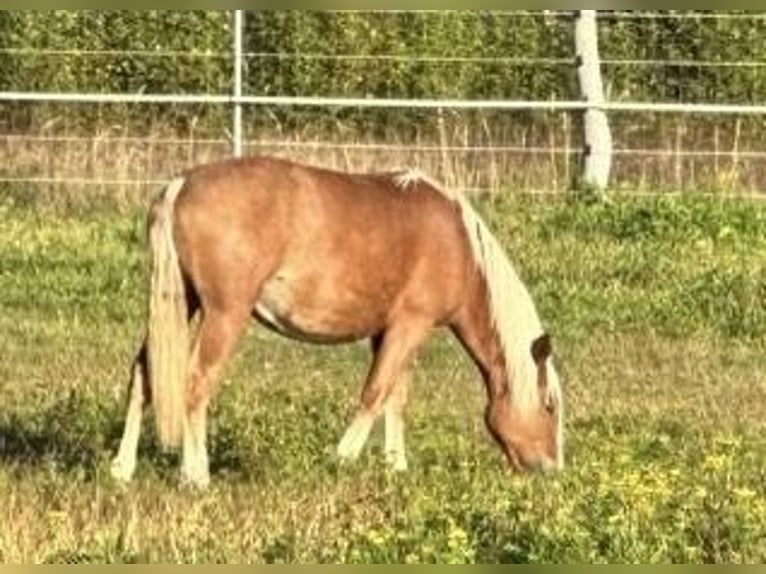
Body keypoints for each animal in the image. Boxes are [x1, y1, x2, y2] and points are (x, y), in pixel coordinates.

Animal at [109, 155, 564, 488]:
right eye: (550, 406)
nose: (551, 470)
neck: (461, 247)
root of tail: (181, 184)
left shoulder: (392, 332)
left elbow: (395, 397)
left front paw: (395, 466)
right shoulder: (411, 326)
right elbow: (375, 393)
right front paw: (342, 458)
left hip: (180, 303)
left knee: (143, 374)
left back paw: (122, 468)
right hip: (224, 313)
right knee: (195, 382)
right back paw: (195, 475)